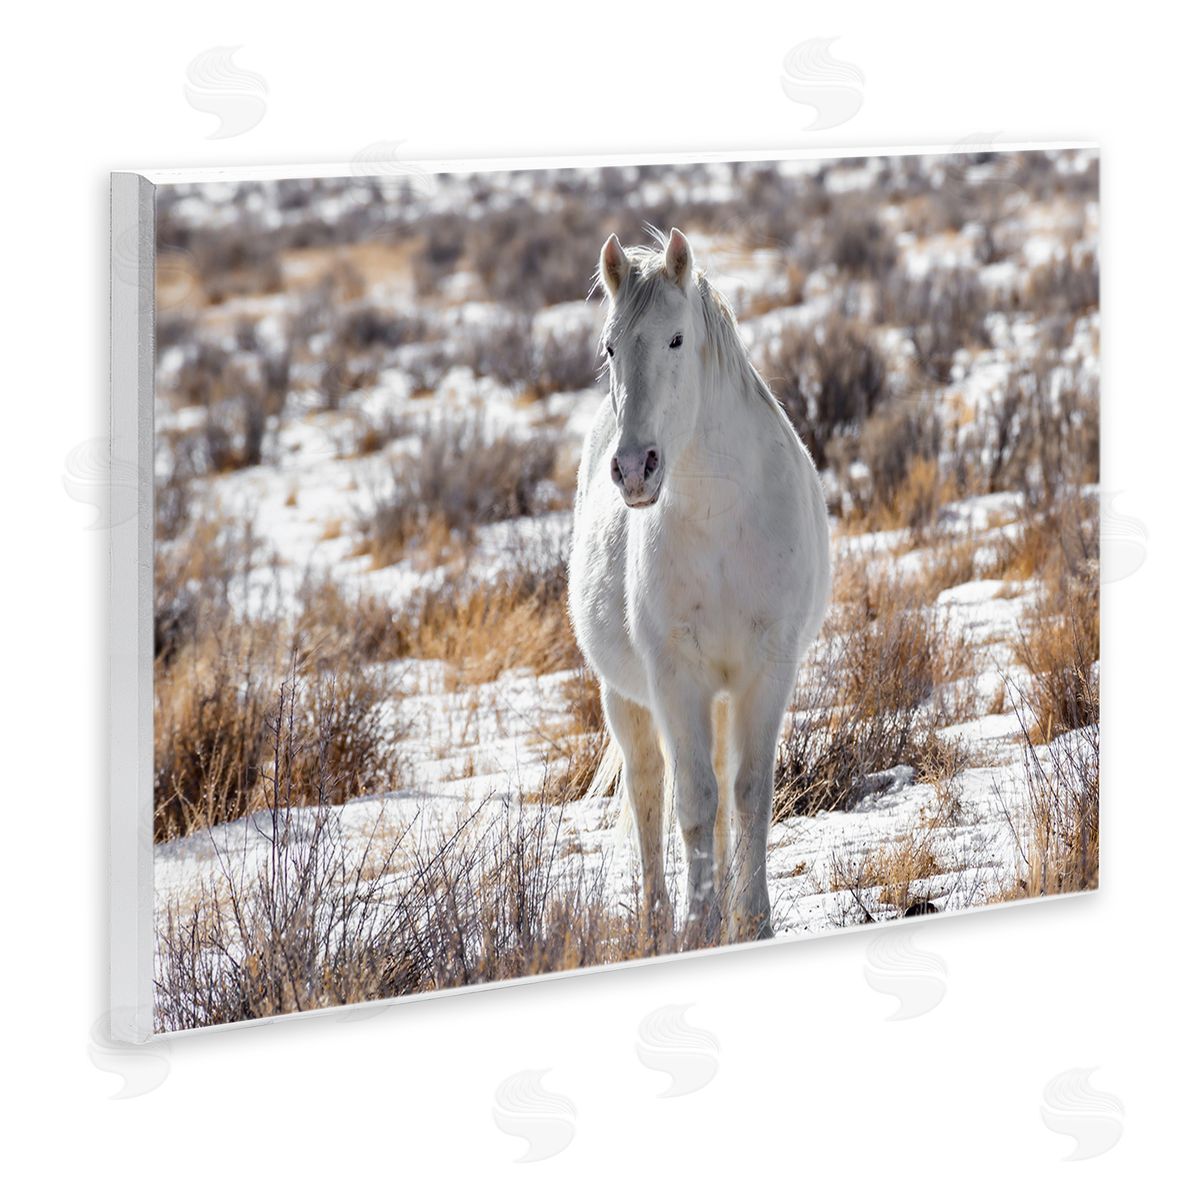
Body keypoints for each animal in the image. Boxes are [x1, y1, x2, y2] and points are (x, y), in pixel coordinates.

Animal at [567, 227, 831, 944]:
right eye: (610, 346)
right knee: (649, 790)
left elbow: (748, 794)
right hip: (627, 698)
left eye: (677, 339)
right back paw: (661, 919)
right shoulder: (675, 675)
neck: (721, 520)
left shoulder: (767, 668)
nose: (635, 468)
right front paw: (700, 923)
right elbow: (691, 801)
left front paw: (753, 921)